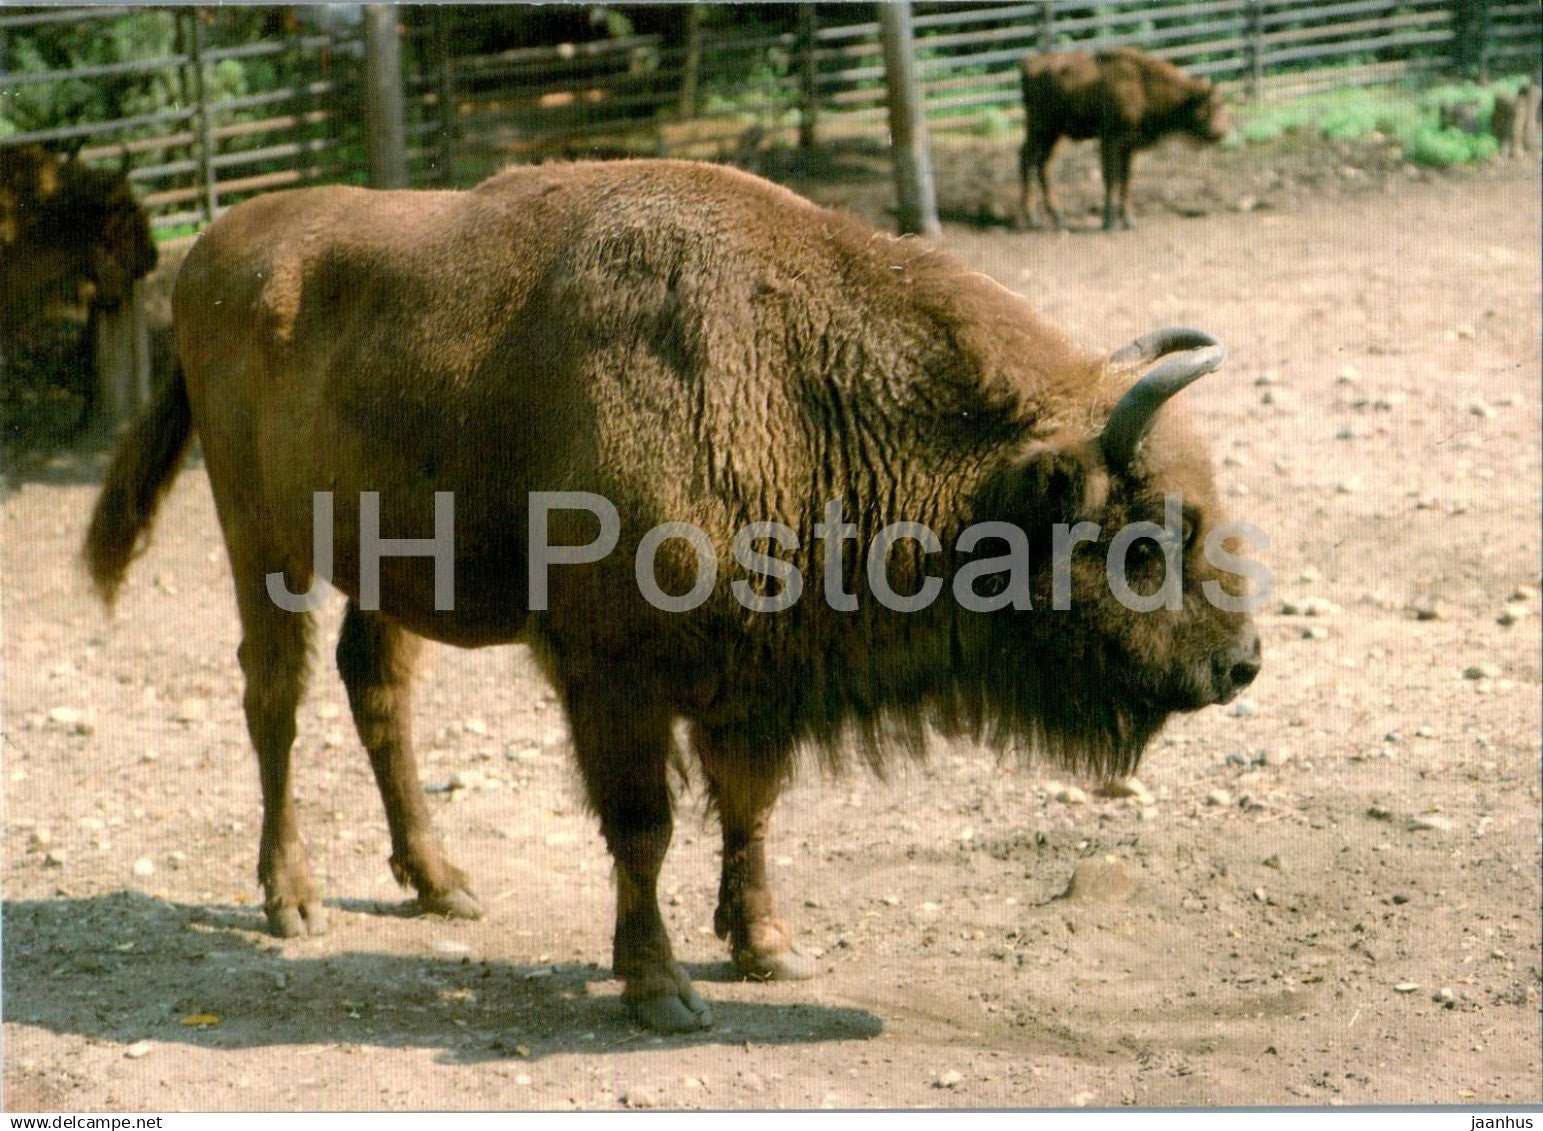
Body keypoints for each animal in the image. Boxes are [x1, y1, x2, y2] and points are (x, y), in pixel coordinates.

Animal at [86, 160, 1260, 1032]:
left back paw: (439, 880)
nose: (1238, 661)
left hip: (382, 568)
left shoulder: (750, 679)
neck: (791, 379)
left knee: (375, 689)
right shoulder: (614, 675)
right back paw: (291, 898)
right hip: (261, 544)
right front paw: (660, 987)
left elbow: (748, 809)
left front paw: (768, 947)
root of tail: (215, 250)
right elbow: (643, 826)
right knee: (274, 697)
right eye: (1146, 536)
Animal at [1018, 47, 1231, 232]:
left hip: (1054, 135)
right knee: (1027, 159)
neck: (1143, 85)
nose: (1223, 131)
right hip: (1041, 129)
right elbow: (1111, 179)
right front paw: (1110, 223)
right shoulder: (1110, 140)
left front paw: (1129, 220)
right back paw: (1033, 218)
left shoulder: (1128, 146)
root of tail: (1030, 63)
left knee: (1043, 164)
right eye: (1214, 105)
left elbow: (1126, 180)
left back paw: (1057, 216)